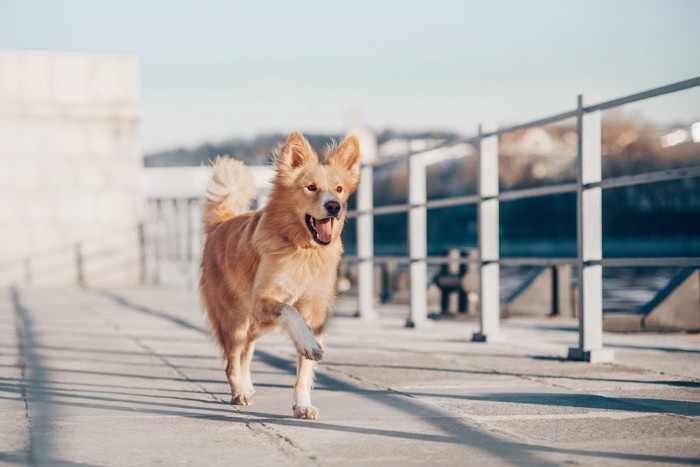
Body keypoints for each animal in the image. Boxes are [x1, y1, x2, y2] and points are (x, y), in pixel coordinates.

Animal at [198, 131, 358, 420]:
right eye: (311, 187)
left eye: (339, 189)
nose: (334, 206)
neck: (303, 248)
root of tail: (220, 223)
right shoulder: (263, 300)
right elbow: (290, 312)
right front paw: (307, 344)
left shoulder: (315, 311)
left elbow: (305, 370)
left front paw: (302, 404)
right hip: (236, 318)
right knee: (232, 359)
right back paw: (239, 391)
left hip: (254, 324)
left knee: (246, 353)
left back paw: (247, 385)